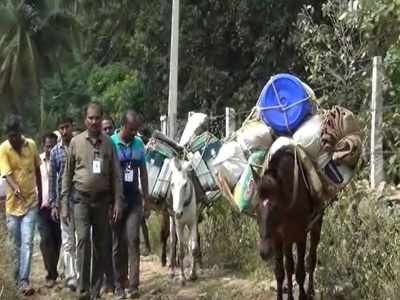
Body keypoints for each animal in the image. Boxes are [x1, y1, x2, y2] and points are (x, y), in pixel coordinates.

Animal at [255, 147, 324, 300]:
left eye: (275, 207)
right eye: (256, 207)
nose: (264, 252)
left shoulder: (301, 235)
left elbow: (300, 272)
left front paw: (303, 296)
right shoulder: (278, 238)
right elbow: (280, 272)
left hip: (315, 225)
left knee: (311, 259)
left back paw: (310, 291)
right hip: (287, 238)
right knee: (289, 266)